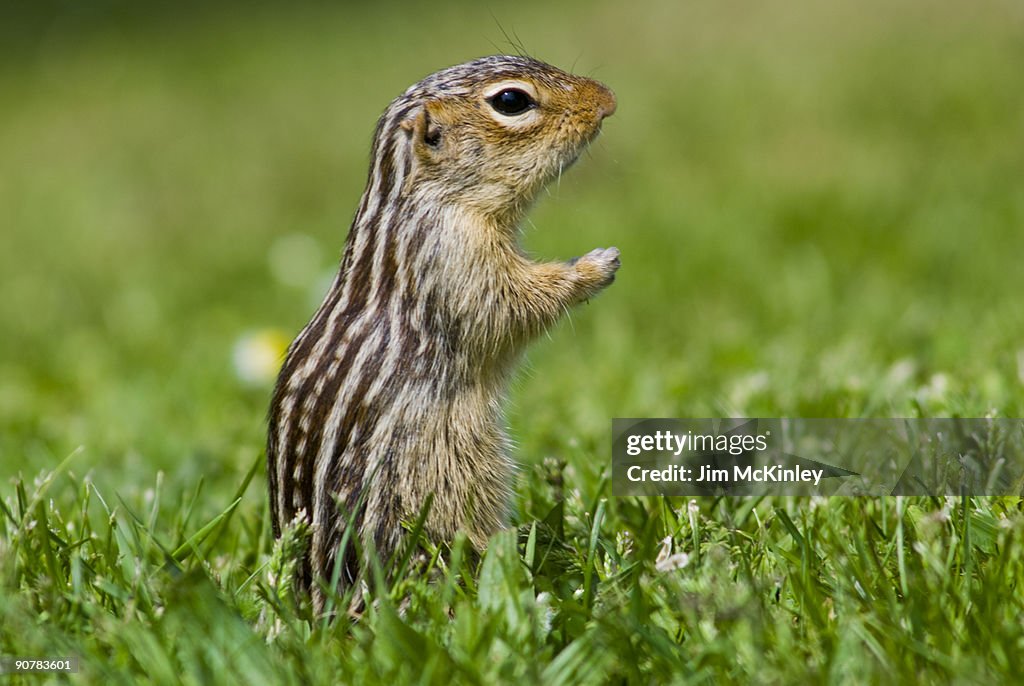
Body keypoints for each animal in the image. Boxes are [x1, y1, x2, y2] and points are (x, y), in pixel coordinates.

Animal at [267, 55, 619, 613]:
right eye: (511, 101)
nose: (608, 99)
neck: (420, 200)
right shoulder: (455, 258)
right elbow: (512, 306)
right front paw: (595, 266)